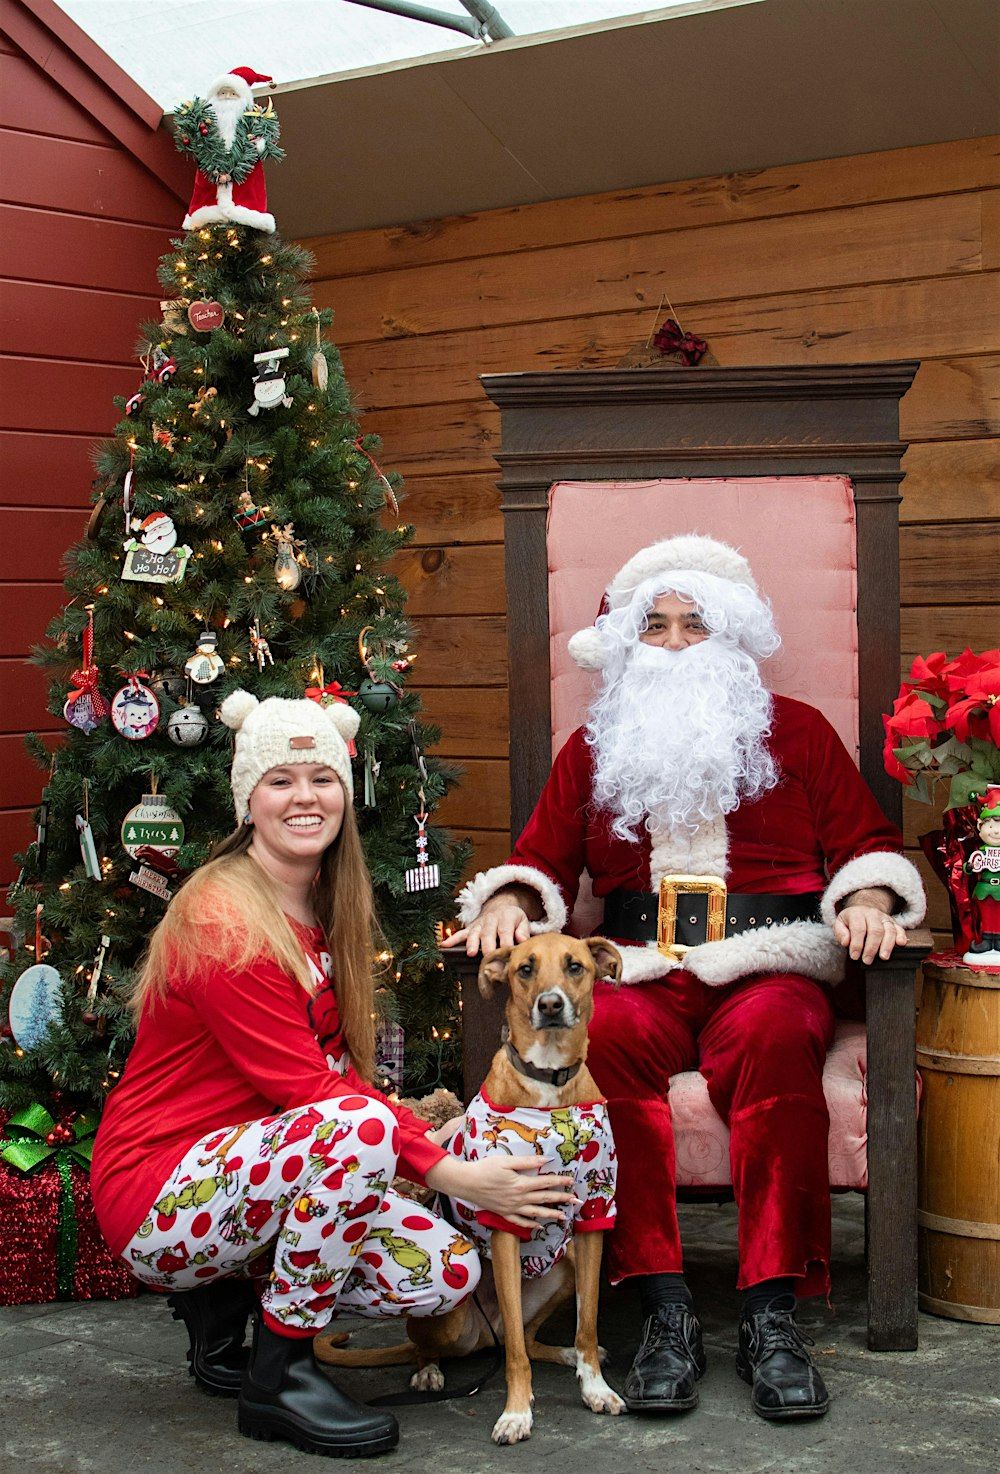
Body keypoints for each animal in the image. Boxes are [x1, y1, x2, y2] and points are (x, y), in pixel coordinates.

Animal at [315, 937, 625, 1444]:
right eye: (525, 969)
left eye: (575, 967)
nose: (550, 1004)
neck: (546, 1084)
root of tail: (483, 1337)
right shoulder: (505, 1222)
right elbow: (514, 1352)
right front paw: (516, 1412)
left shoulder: (595, 1217)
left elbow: (589, 1325)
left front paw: (594, 1385)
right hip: (453, 1319)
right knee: (442, 1344)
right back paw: (429, 1371)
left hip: (564, 1271)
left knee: (531, 1339)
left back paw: (564, 1356)